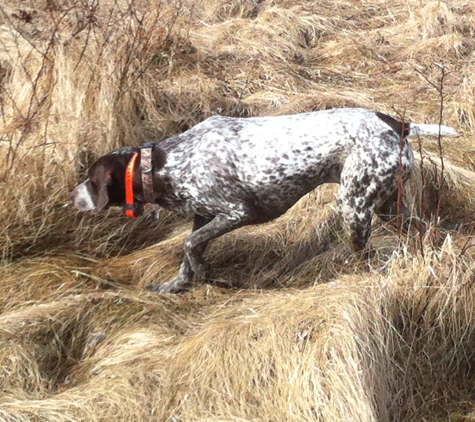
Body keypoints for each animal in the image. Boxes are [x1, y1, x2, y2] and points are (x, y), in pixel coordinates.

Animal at [69, 109, 460, 292]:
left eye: (91, 180)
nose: (72, 196)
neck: (165, 163)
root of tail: (396, 123)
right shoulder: (204, 216)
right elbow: (189, 250)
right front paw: (177, 285)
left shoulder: (237, 212)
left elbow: (189, 245)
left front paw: (205, 275)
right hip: (390, 206)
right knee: (426, 232)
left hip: (355, 206)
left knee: (365, 254)